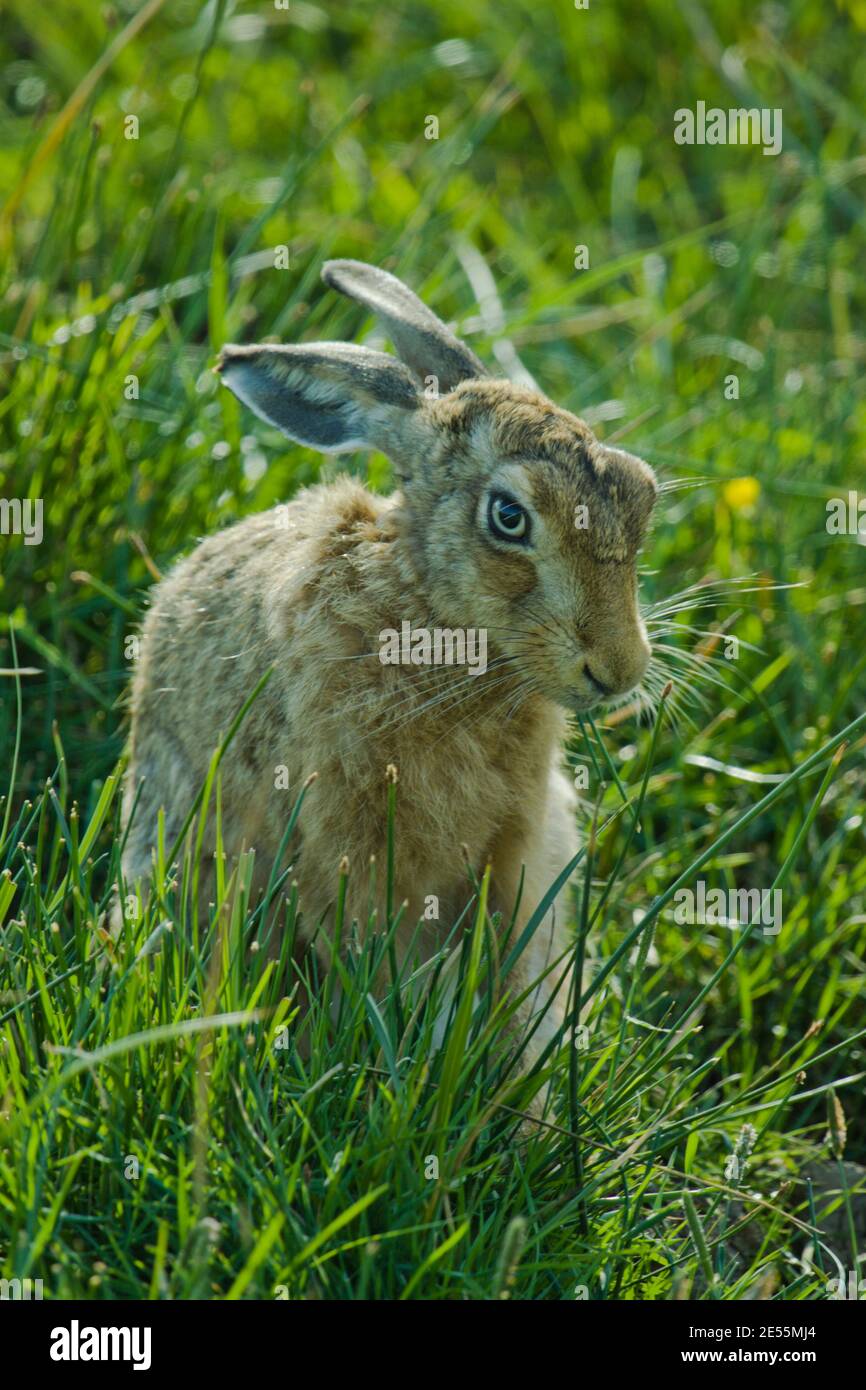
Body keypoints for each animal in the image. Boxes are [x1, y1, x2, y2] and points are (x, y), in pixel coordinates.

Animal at [120, 258, 657, 1094]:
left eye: (641, 491)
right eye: (509, 517)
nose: (620, 669)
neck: (435, 621)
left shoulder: (517, 844)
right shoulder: (345, 836)